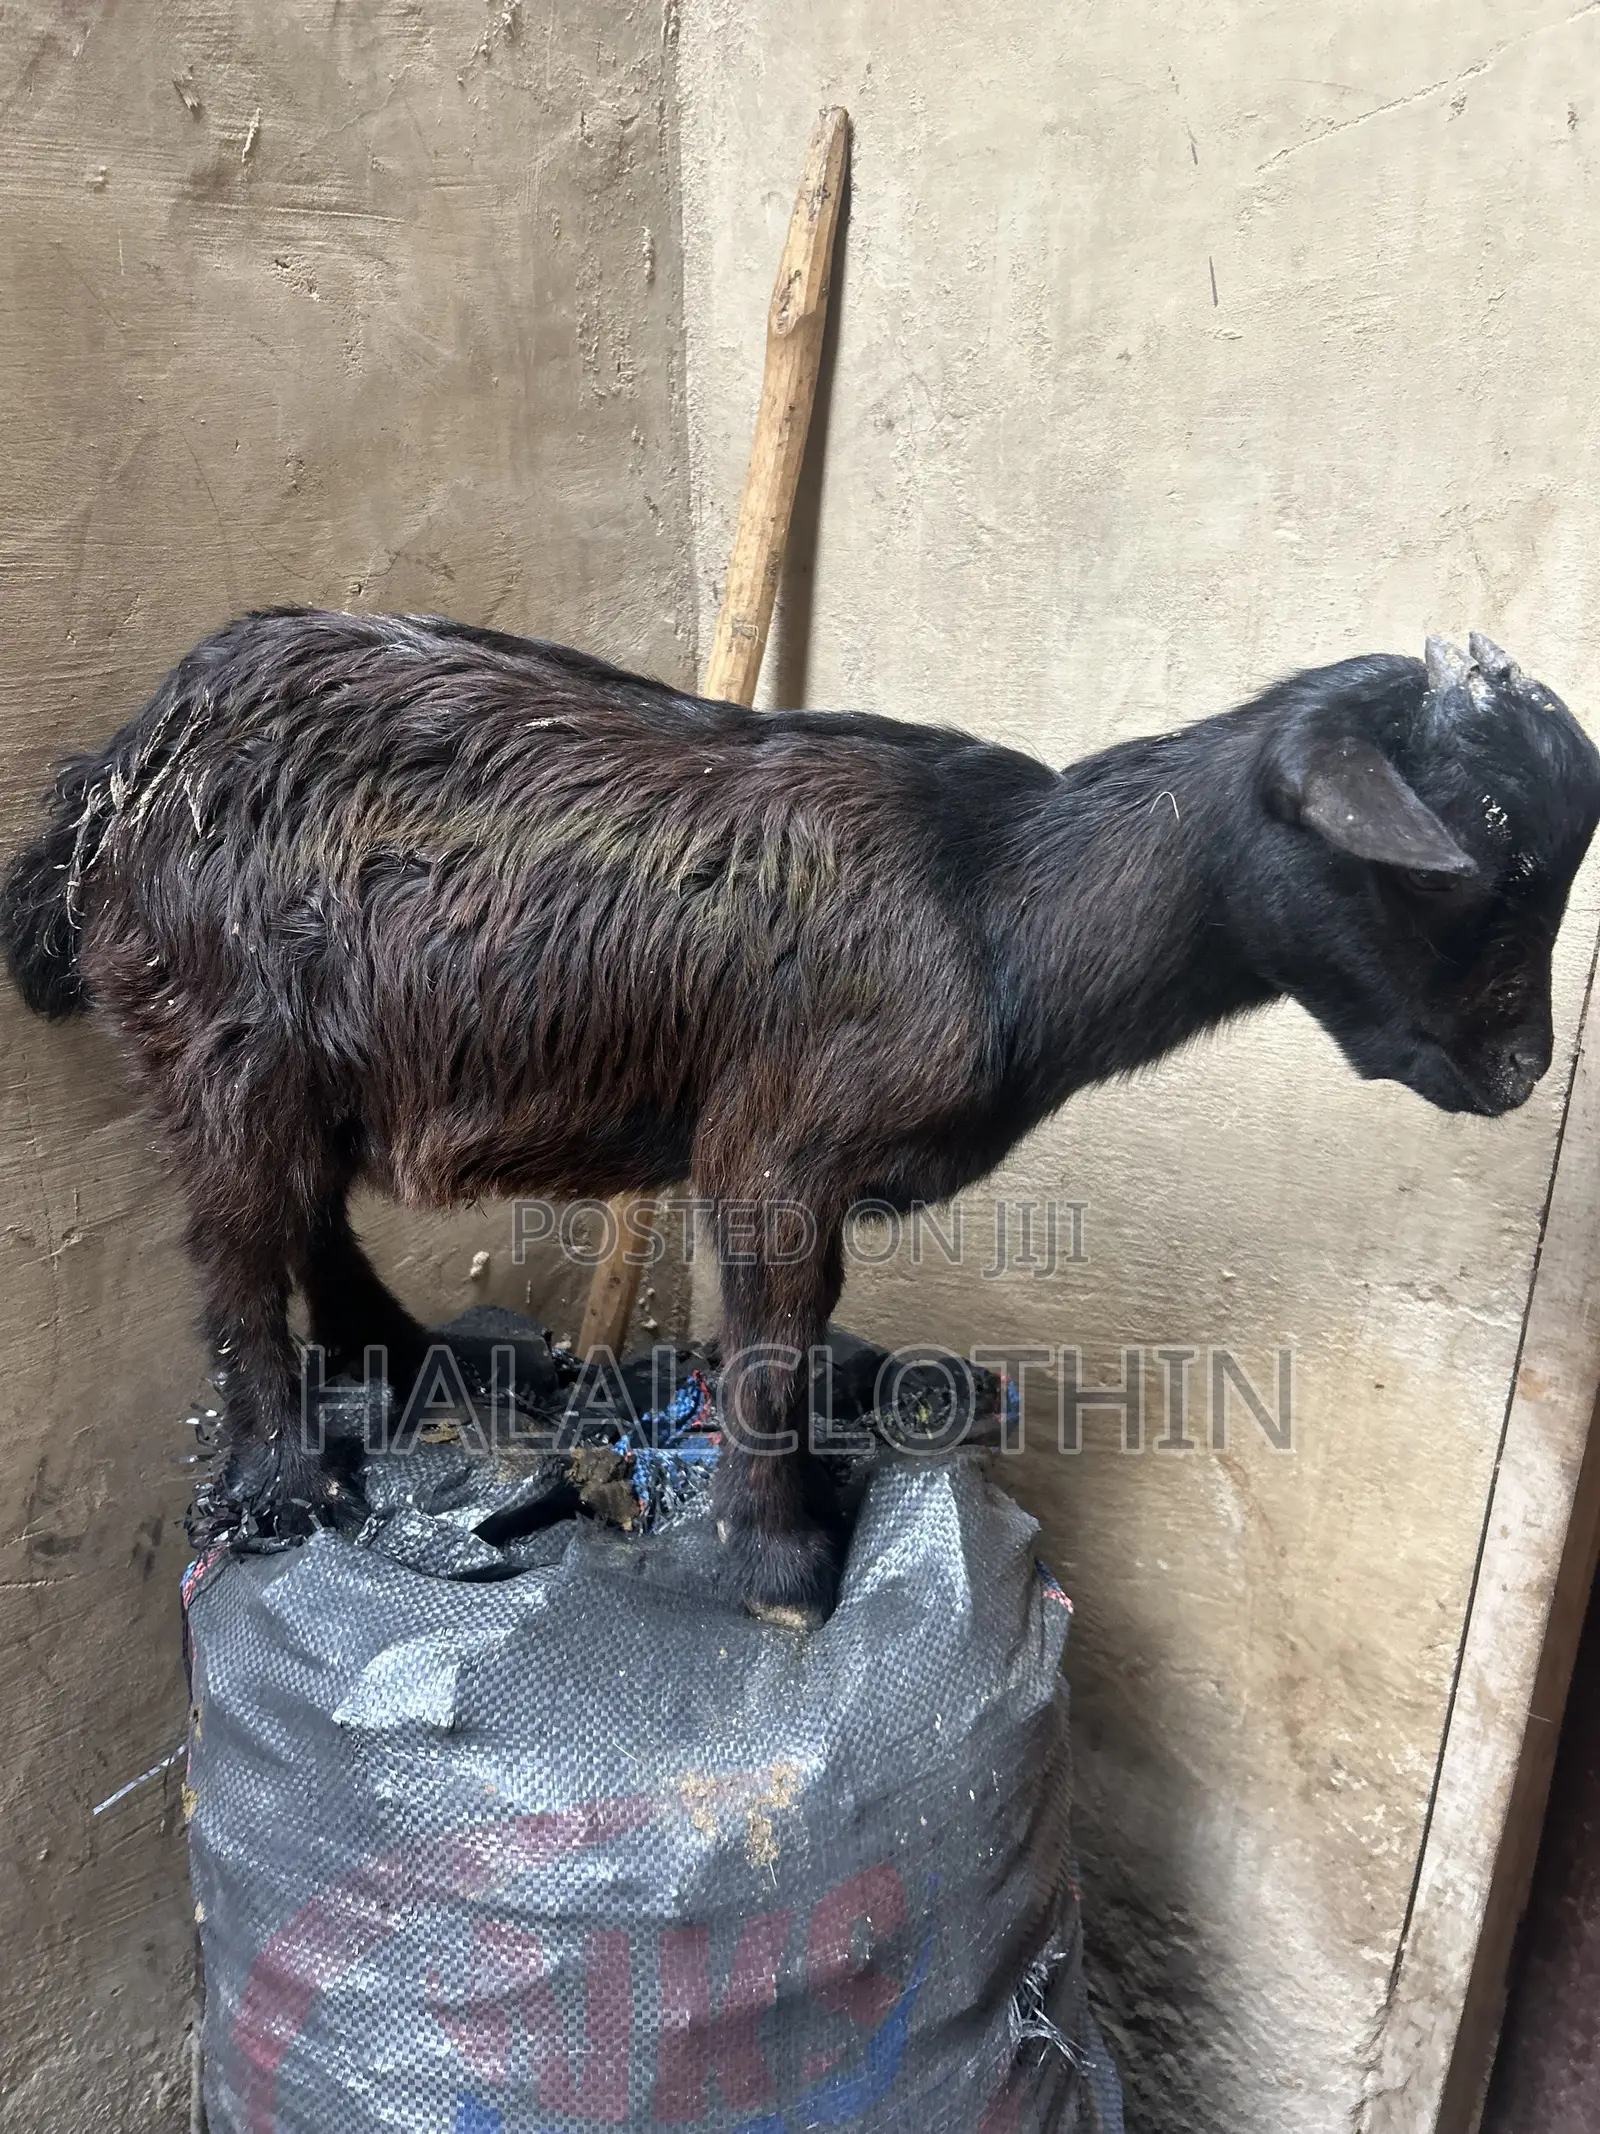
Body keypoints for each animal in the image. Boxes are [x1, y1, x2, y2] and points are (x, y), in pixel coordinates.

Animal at [4, 613, 1597, 1617]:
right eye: (1487, 848)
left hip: (301, 1058)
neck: (999, 907)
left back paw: (411, 1360)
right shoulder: (775, 1146)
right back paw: (273, 1483)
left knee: (311, 1212)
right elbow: (770, 1333)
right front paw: (783, 1566)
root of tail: (108, 783)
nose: (1526, 1066)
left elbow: (800, 1333)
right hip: (218, 1030)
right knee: (235, 1245)